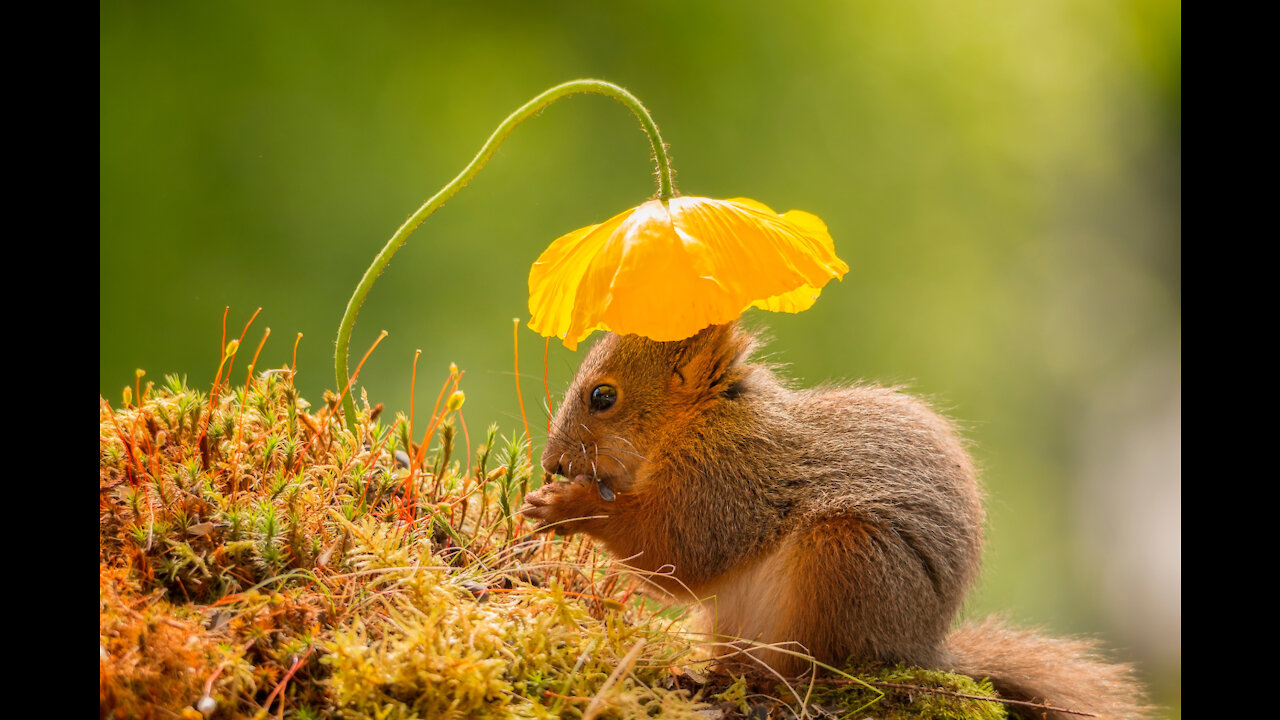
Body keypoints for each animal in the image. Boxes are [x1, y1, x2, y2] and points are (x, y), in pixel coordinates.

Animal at [519, 322, 1152, 712]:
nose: (551, 464)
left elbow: (678, 548)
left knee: (820, 669)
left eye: (603, 397)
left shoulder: (732, 481)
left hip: (847, 558)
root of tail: (920, 647)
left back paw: (773, 678)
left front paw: (568, 507)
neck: (699, 421)